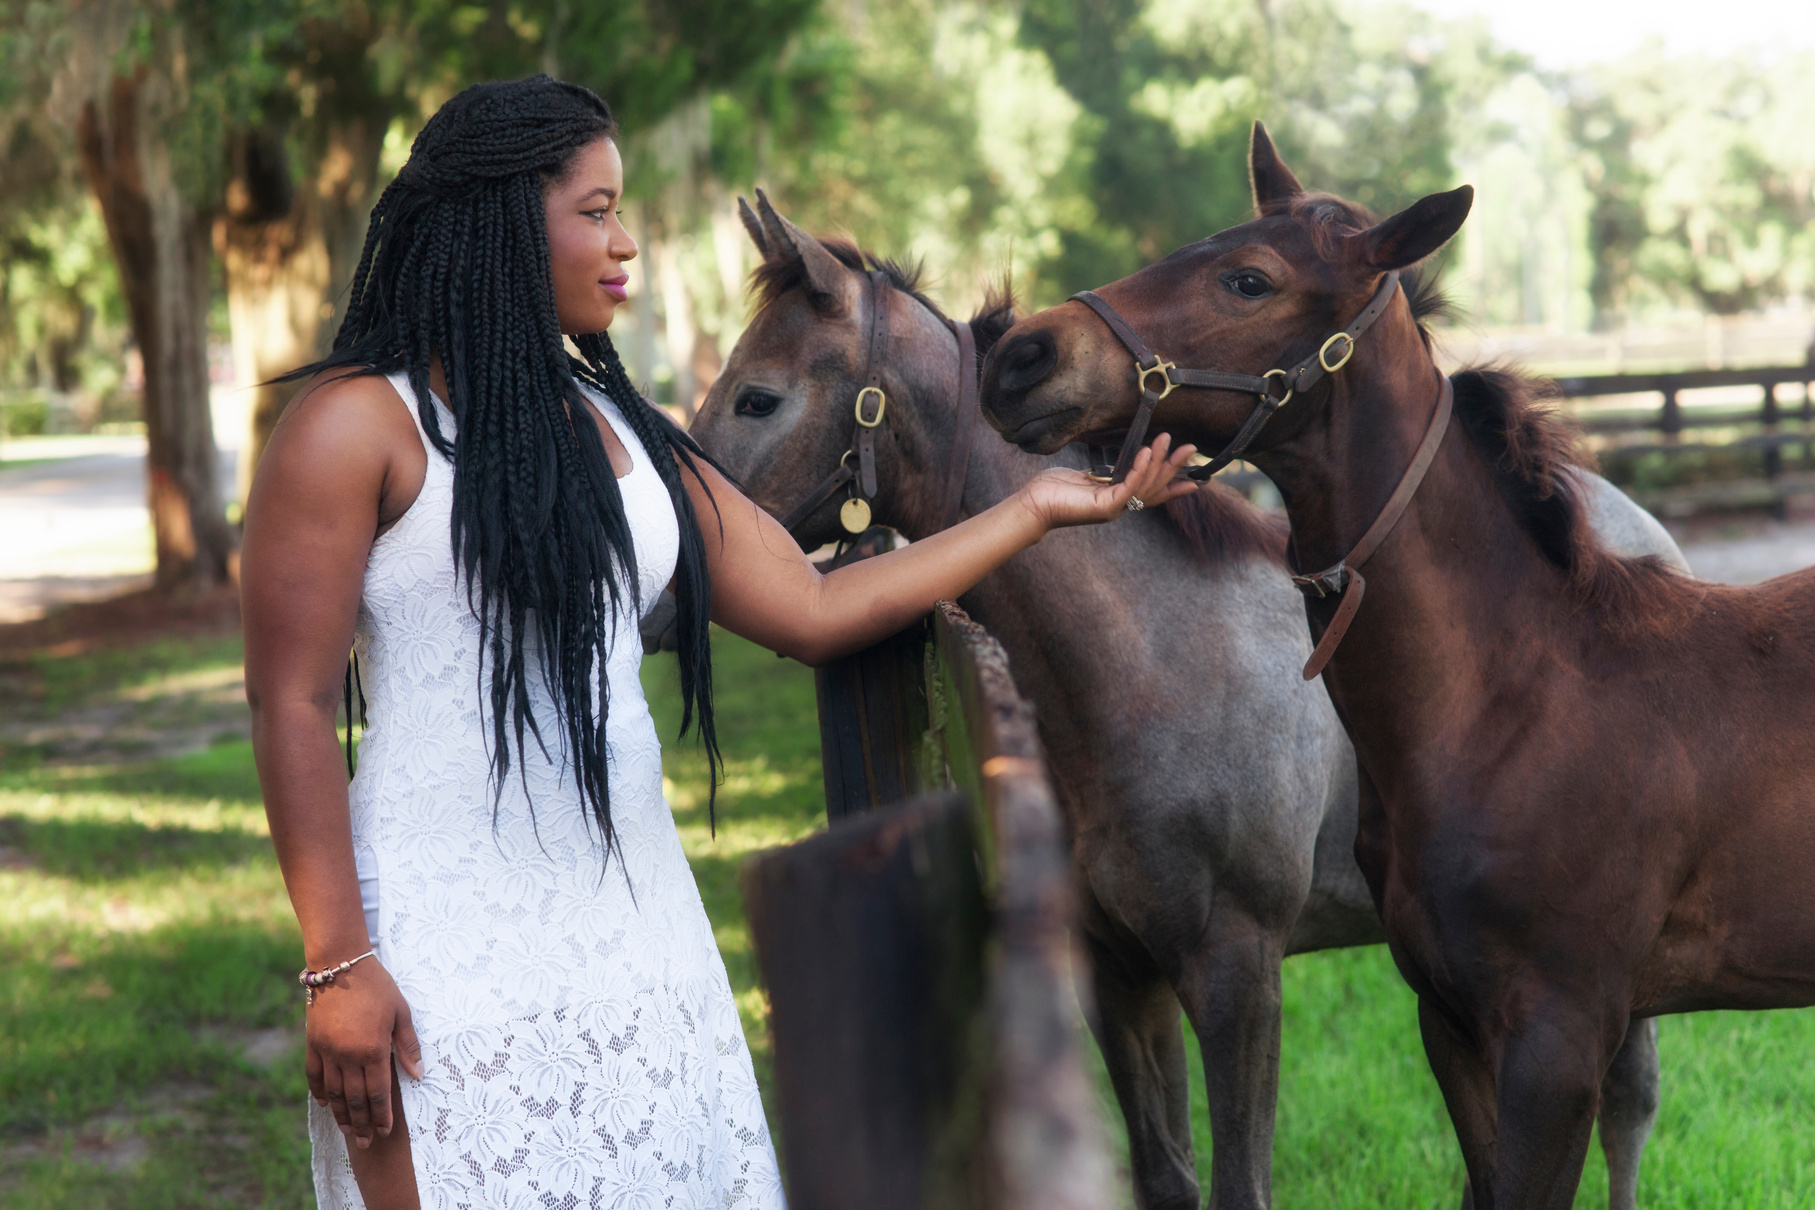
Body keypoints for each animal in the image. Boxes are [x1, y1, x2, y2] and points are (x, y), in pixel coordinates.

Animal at [686, 194, 1677, 1204]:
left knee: (1628, 1103)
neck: (1151, 665)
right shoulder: (1120, 972)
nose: (699, 532)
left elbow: (1241, 1183)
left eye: (758, 397)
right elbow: (1166, 1175)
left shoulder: (1237, 971)